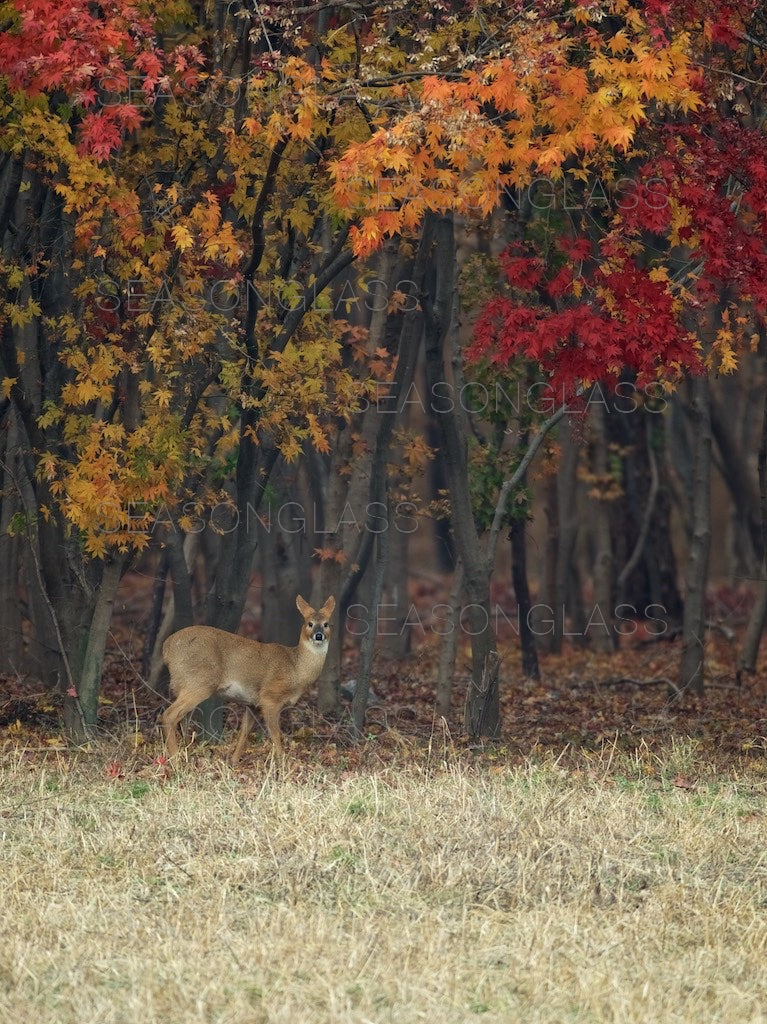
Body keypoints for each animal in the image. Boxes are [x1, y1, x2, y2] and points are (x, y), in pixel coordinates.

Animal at [161, 593, 335, 761]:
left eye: (326, 624)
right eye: (310, 623)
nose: (319, 635)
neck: (295, 668)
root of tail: (167, 647)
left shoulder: (253, 704)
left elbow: (244, 733)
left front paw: (233, 761)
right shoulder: (270, 697)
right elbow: (276, 735)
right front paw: (283, 763)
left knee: (180, 719)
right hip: (199, 682)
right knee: (169, 715)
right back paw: (176, 760)